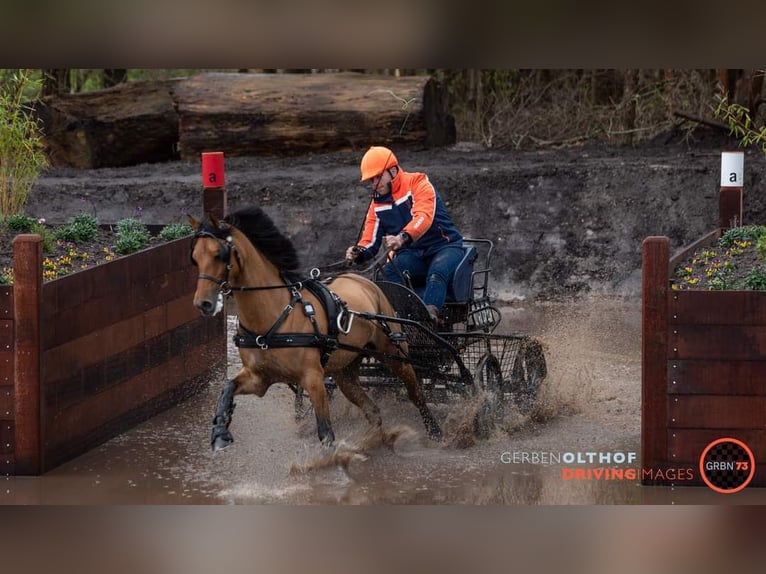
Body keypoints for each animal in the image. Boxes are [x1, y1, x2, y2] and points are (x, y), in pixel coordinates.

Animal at [189, 207, 444, 454]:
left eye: (218, 254)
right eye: (195, 258)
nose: (203, 304)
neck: (275, 314)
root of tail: (366, 281)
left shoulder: (313, 378)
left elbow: (325, 431)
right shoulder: (258, 378)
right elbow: (227, 388)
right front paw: (220, 432)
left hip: (394, 353)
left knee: (415, 393)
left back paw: (435, 432)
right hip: (345, 370)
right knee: (371, 409)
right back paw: (374, 440)